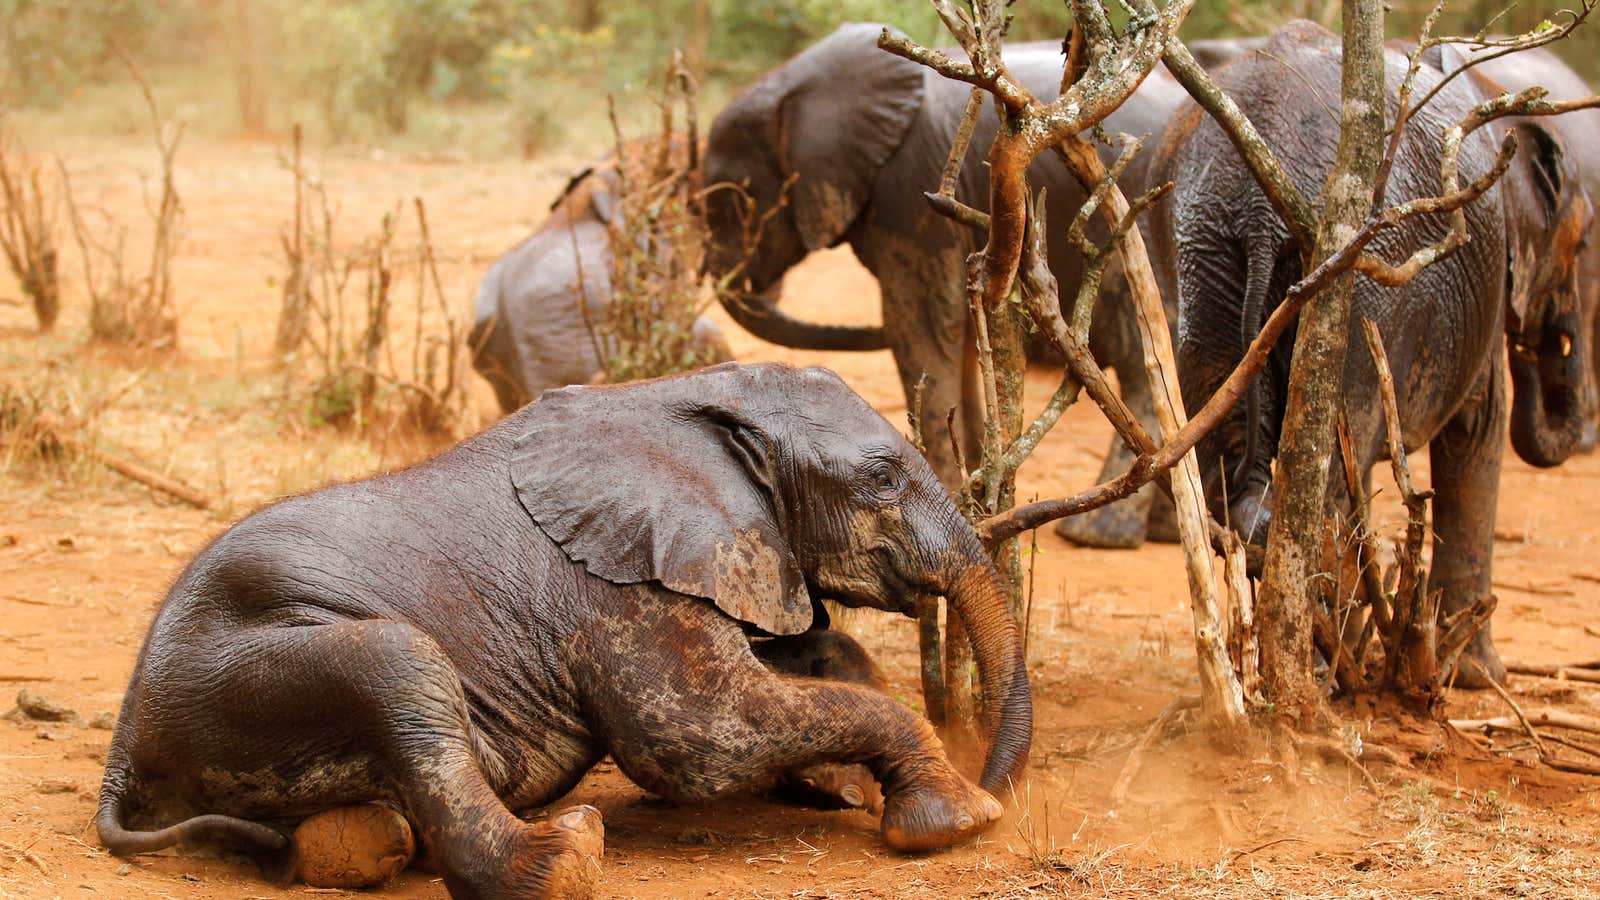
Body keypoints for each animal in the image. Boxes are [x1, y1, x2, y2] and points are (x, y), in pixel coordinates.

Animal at [700, 24, 1260, 547]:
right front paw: (971, 498)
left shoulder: (910, 192)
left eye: (735, 199)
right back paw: (1172, 533)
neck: (797, 80)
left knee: (1141, 352)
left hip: (1126, 218)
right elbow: (959, 333)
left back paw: (1098, 535)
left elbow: (922, 326)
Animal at [1152, 24, 1587, 685]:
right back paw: (1316, 680)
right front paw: (1479, 678)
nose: (1550, 342)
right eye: (1582, 245)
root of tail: (1255, 208)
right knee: (1322, 482)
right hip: (1362, 281)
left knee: (1231, 484)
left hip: (1204, 257)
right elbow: (1478, 430)